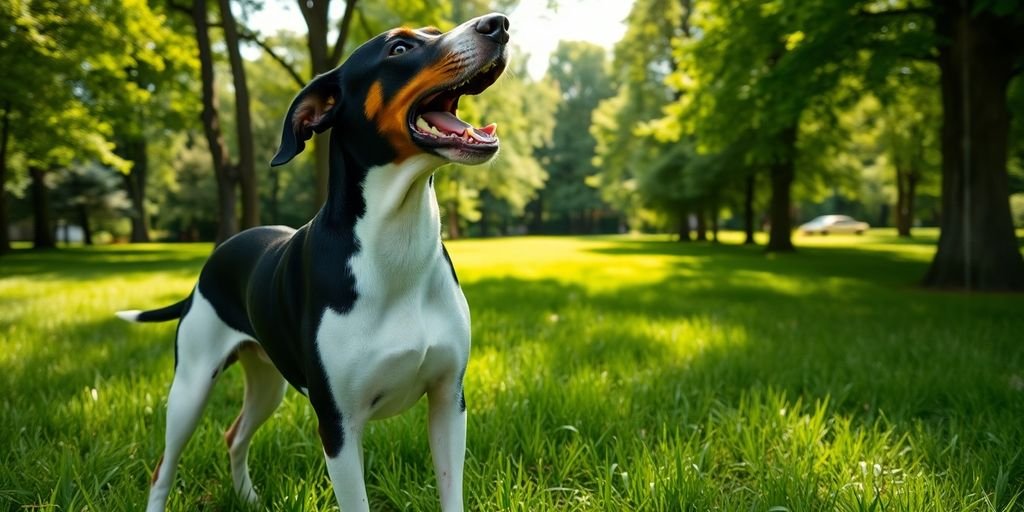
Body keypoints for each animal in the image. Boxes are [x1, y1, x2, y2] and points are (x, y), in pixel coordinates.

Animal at [117, 14, 509, 509]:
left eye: (434, 32)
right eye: (399, 49)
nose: (498, 24)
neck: (397, 246)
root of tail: (215, 258)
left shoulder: (448, 403)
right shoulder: (339, 428)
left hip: (268, 383)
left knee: (234, 436)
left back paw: (248, 497)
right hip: (190, 387)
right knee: (162, 468)